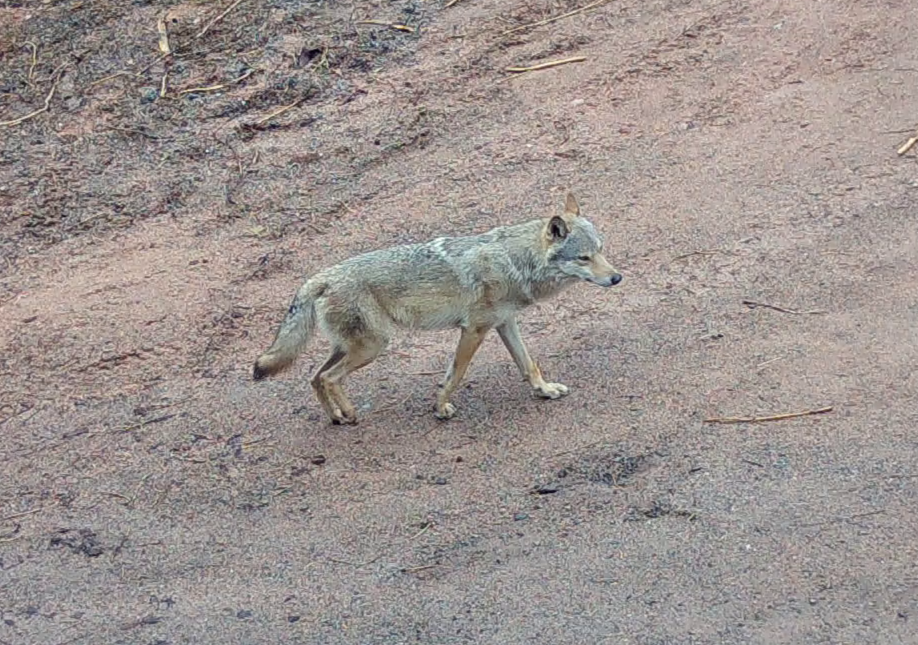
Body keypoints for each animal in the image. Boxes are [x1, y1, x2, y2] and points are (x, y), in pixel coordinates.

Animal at [253, 191, 624, 422]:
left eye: (601, 250)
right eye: (584, 258)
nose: (617, 277)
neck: (515, 262)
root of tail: (321, 276)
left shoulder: (505, 324)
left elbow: (529, 365)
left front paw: (544, 391)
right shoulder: (473, 330)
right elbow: (455, 375)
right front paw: (441, 408)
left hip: (352, 347)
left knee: (315, 378)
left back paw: (336, 417)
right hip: (373, 346)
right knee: (329, 378)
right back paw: (352, 414)